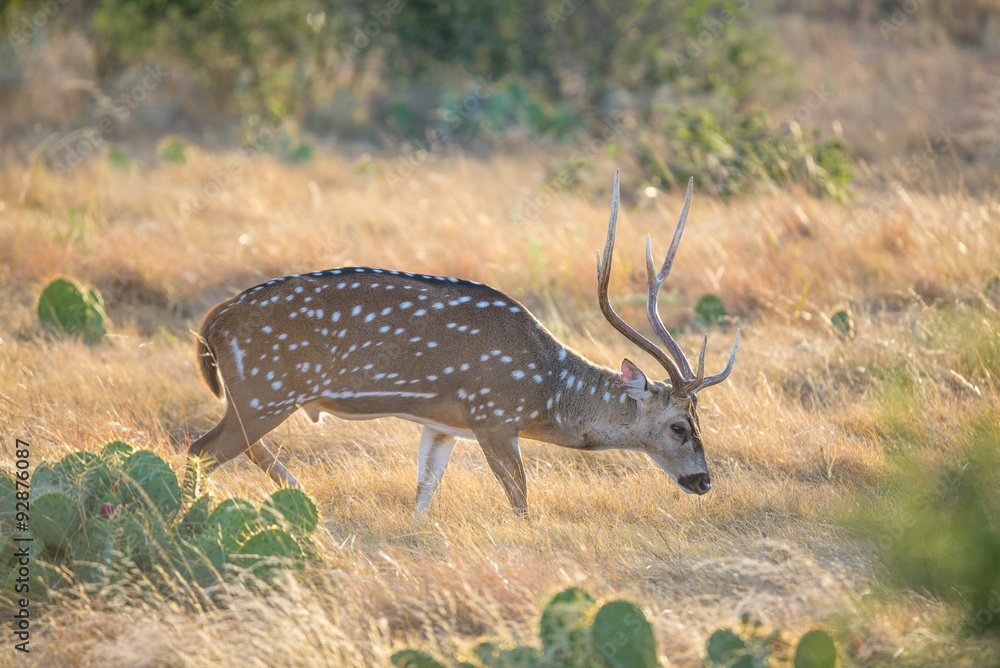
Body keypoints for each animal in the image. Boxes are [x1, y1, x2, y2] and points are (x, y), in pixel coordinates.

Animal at [186, 171, 739, 516]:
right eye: (680, 426)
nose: (705, 481)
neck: (545, 391)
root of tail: (212, 322)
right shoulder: (491, 415)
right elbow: (520, 499)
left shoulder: (442, 423)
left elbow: (424, 492)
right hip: (264, 389)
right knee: (200, 449)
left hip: (258, 396)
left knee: (234, 450)